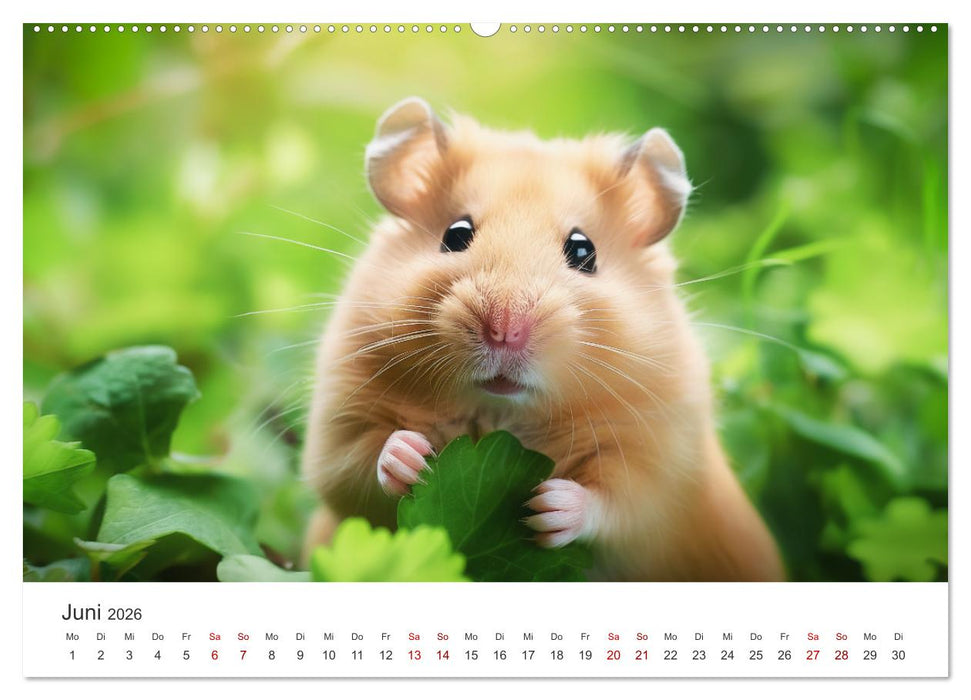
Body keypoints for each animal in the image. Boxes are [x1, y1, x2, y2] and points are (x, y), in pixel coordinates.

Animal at [300, 97, 784, 582]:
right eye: (455, 234)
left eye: (584, 251)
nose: (504, 329)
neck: (501, 411)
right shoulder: (338, 420)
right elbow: (356, 468)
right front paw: (411, 456)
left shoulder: (662, 462)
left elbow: (621, 504)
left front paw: (547, 506)